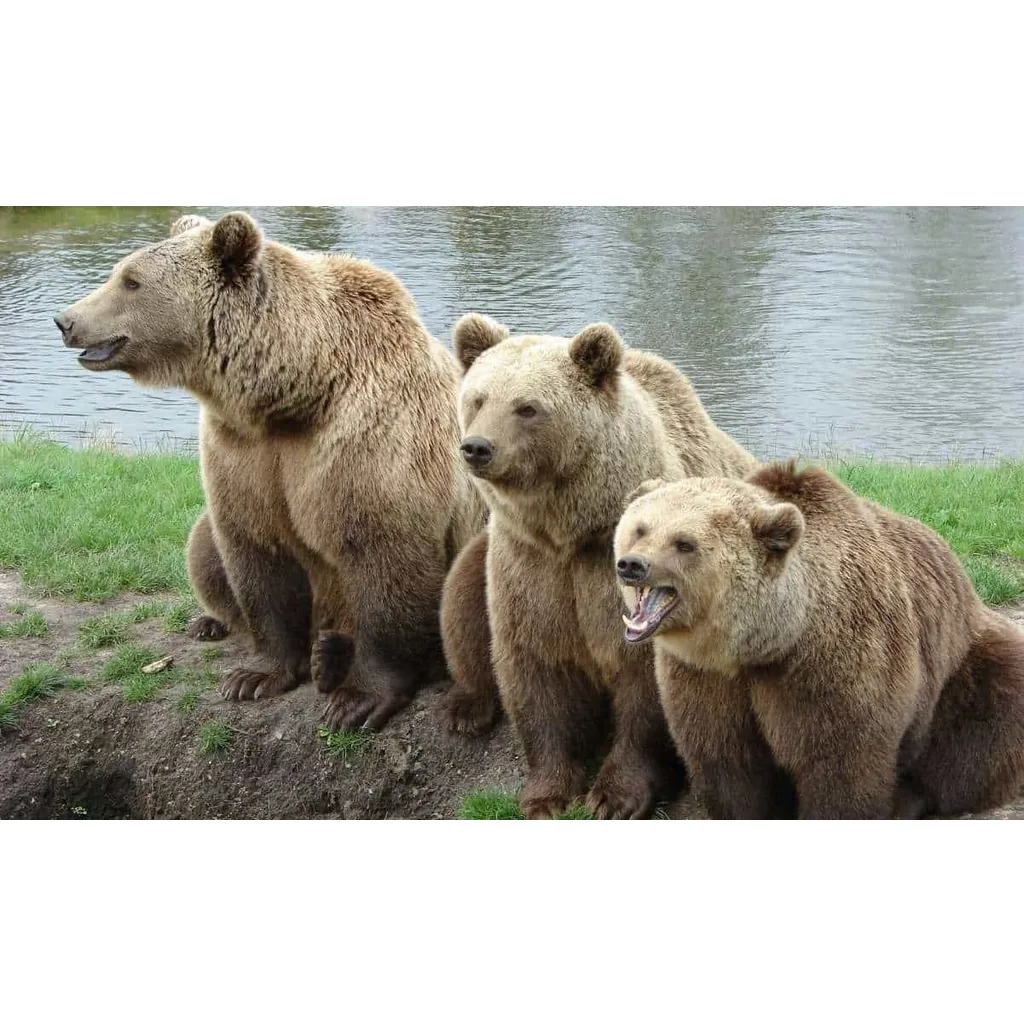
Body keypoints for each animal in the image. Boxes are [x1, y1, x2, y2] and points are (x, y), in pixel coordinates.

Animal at [54, 210, 486, 732]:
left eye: (131, 281)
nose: (66, 320)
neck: (294, 393)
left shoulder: (370, 441)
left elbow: (383, 554)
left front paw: (357, 700)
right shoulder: (243, 452)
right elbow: (255, 552)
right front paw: (255, 676)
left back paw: (333, 656)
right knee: (202, 544)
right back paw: (223, 625)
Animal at [442, 312, 758, 820]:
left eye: (527, 407)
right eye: (478, 398)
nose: (477, 447)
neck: (571, 531)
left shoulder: (618, 577)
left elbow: (644, 686)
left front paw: (616, 796)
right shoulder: (530, 565)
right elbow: (537, 669)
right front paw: (547, 794)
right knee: (461, 599)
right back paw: (466, 708)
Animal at [613, 462, 1024, 823]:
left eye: (684, 543)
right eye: (640, 529)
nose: (632, 564)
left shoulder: (835, 660)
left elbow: (841, 763)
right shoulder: (705, 677)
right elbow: (728, 761)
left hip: (960, 663)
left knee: (980, 730)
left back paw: (905, 801)